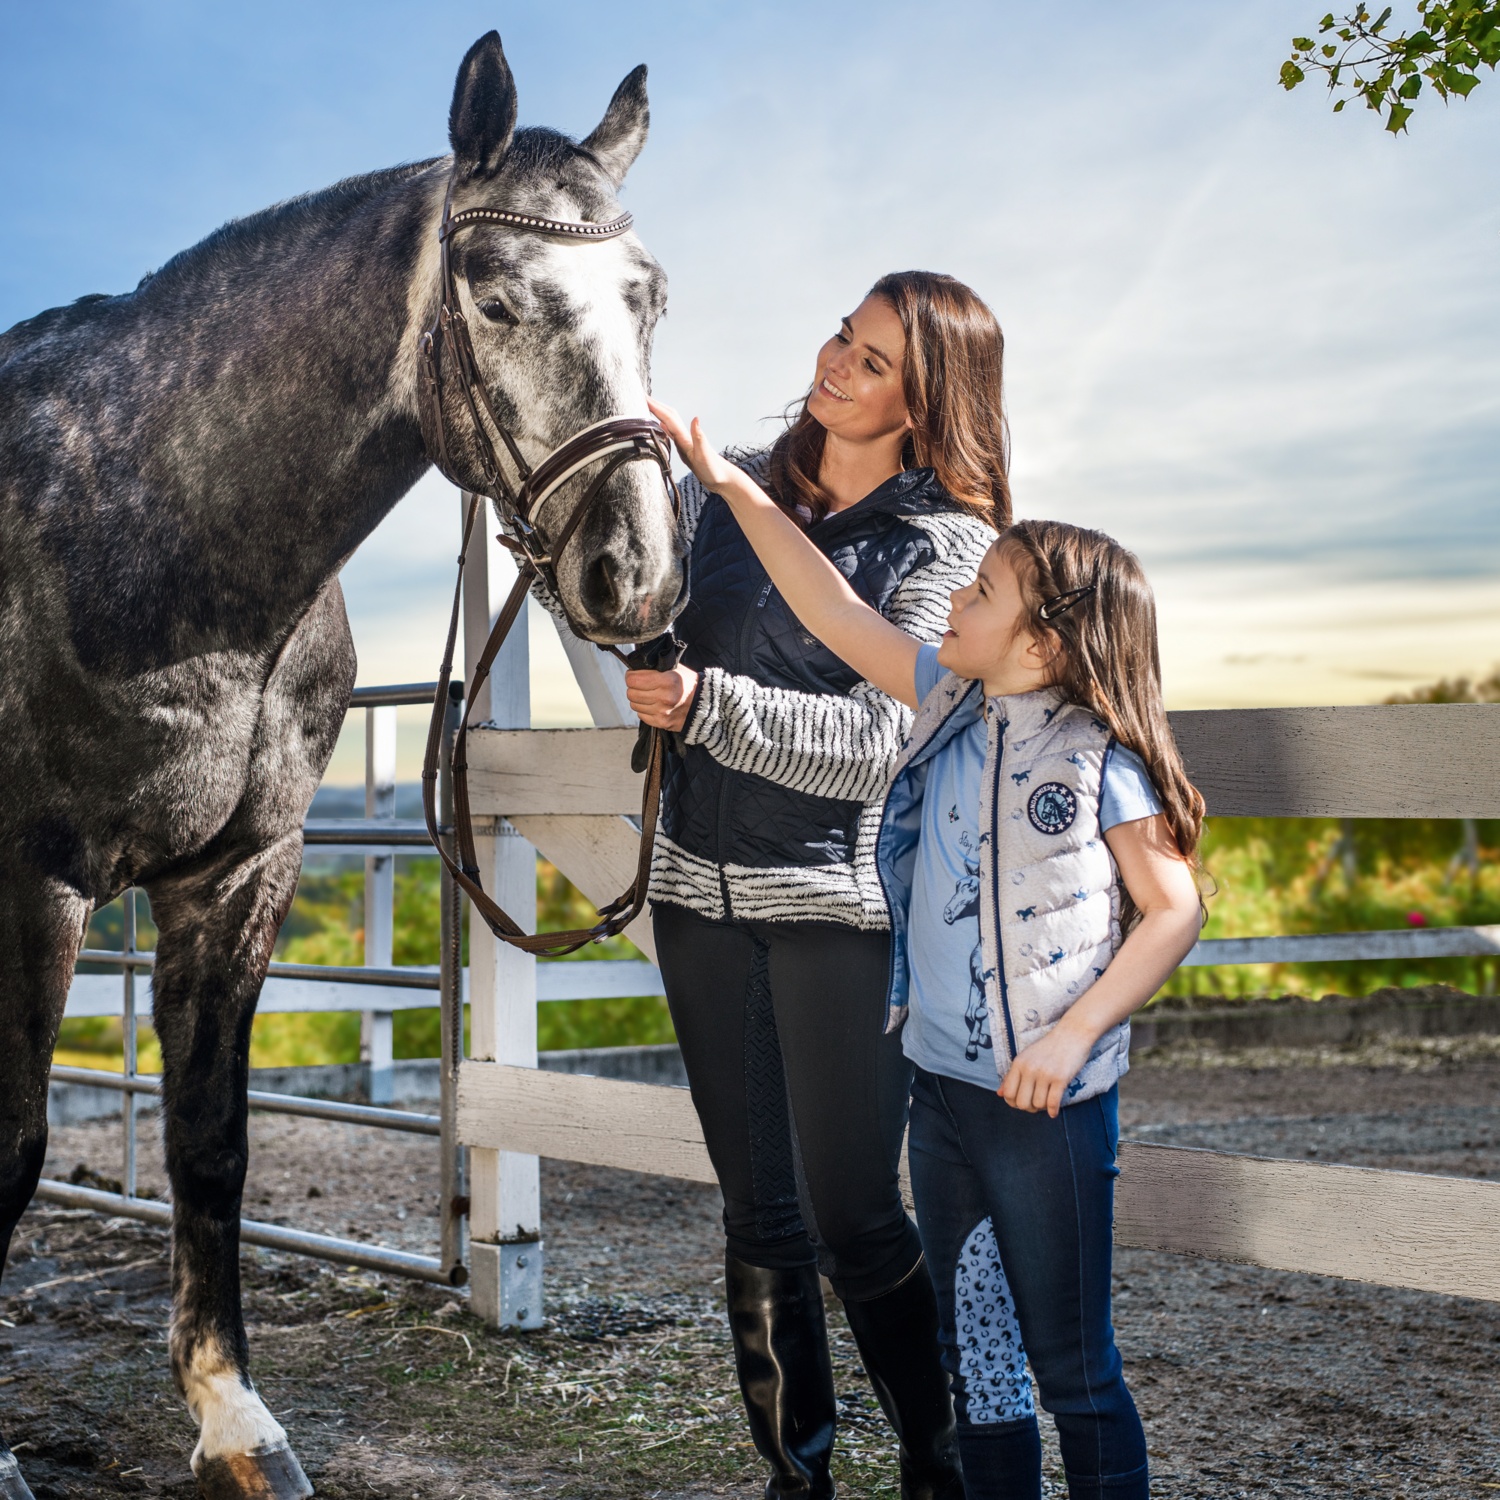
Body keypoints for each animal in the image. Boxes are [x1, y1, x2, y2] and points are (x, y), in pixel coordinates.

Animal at [0, 35, 678, 1500]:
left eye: (649, 296)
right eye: (493, 297)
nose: (639, 571)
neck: (148, 531)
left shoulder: (240, 875)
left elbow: (210, 1145)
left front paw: (235, 1422)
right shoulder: (32, 888)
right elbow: (16, 1149)